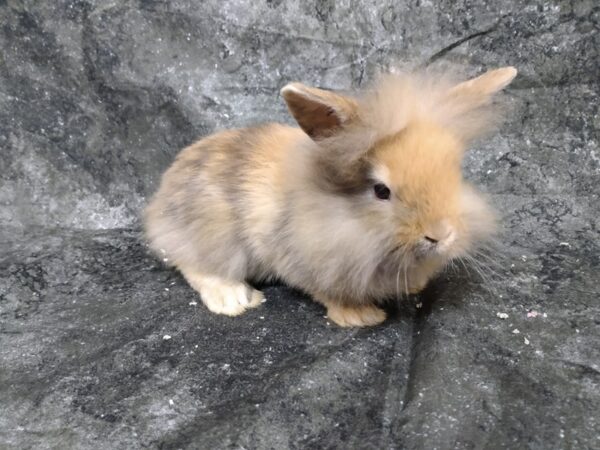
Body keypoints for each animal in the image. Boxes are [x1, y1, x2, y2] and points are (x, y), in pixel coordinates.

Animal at [144, 66, 516, 326]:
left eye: (455, 173)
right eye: (381, 191)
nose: (440, 235)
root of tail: (160, 201)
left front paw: (414, 286)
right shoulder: (303, 258)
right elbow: (327, 292)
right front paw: (362, 317)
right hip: (211, 231)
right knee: (191, 262)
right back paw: (234, 299)